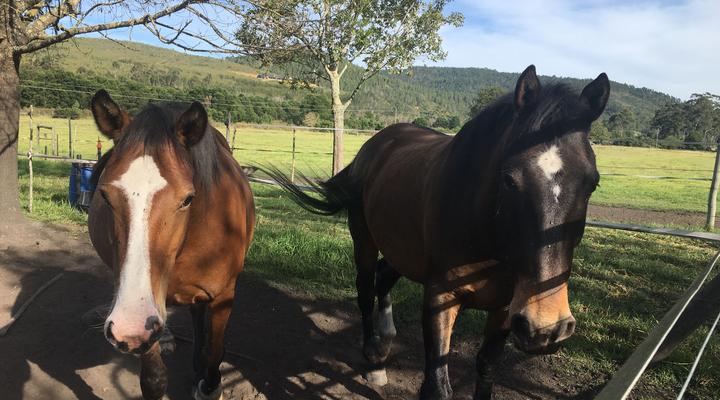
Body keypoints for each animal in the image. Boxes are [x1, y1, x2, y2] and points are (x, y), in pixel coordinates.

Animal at [87, 90, 255, 400]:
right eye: (105, 196)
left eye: (187, 199)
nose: (129, 325)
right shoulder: (146, 315)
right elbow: (153, 379)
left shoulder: (223, 296)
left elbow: (214, 354)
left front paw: (209, 383)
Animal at [264, 65, 609, 399]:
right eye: (509, 179)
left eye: (592, 182)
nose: (547, 327)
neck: (486, 236)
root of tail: (375, 145)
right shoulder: (440, 298)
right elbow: (436, 386)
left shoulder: (505, 309)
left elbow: (486, 371)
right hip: (364, 240)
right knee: (365, 290)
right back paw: (373, 360)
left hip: (403, 250)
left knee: (383, 277)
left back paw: (385, 342)